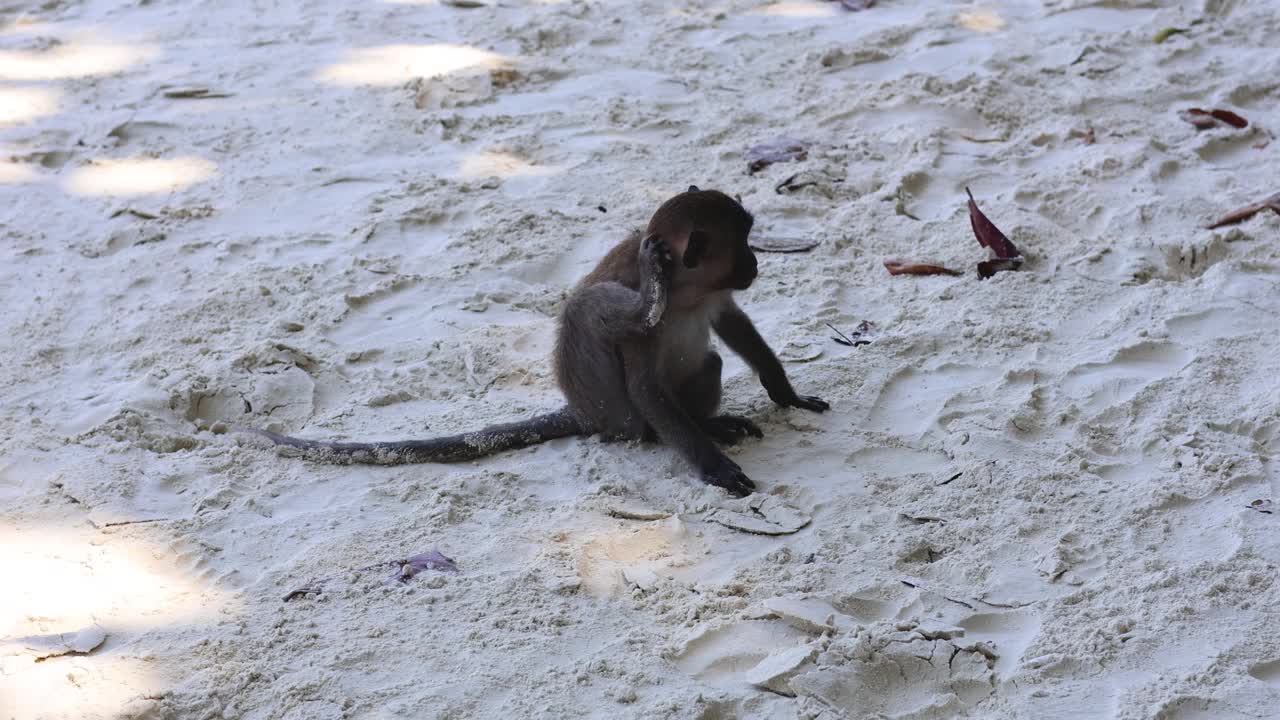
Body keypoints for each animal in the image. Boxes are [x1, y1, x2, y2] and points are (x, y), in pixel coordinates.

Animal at [240, 185, 829, 491]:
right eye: (743, 244)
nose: (755, 263)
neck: (683, 291)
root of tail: (587, 415)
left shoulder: (713, 297)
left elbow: (733, 325)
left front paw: (787, 393)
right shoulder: (641, 318)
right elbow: (643, 383)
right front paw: (714, 467)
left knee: (708, 363)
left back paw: (710, 423)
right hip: (624, 418)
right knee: (594, 322)